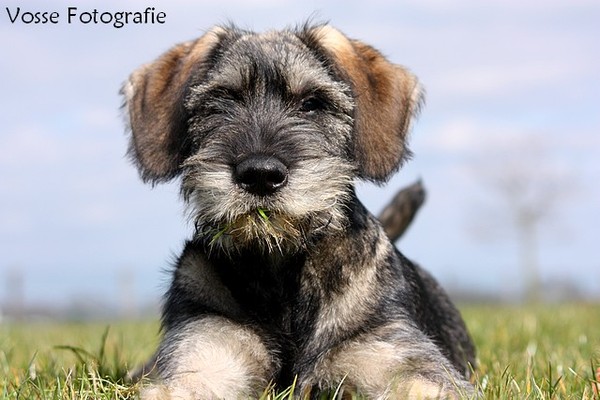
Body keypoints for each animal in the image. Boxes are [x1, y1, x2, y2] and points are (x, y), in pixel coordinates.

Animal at [123, 22, 478, 400]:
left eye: (312, 104)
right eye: (219, 102)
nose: (260, 174)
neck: (281, 272)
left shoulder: (399, 359)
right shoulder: (205, 347)